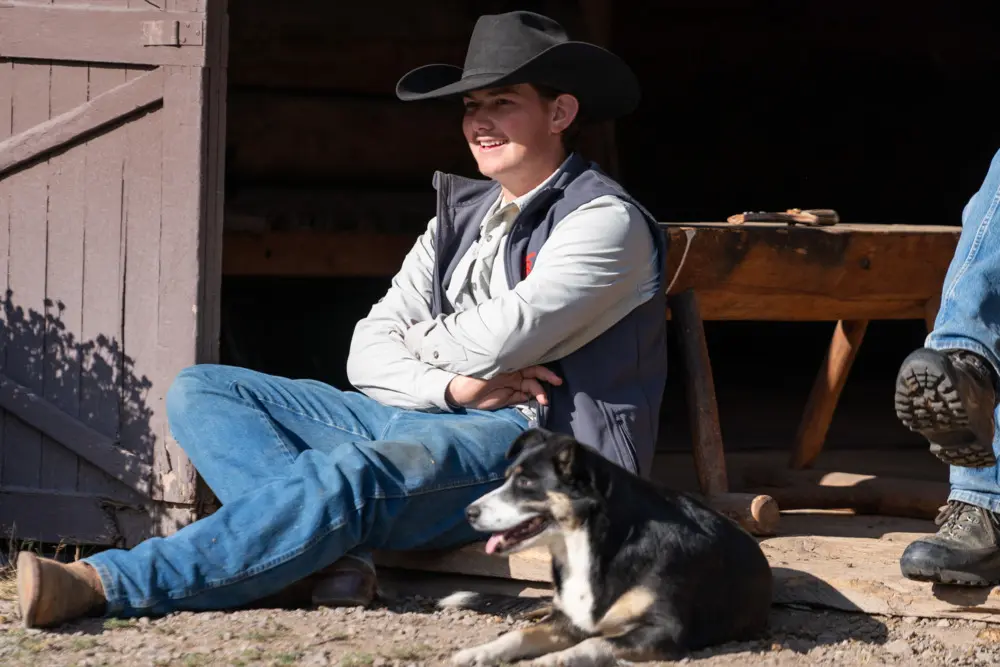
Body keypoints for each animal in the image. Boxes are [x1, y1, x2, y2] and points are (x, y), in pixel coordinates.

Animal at [446, 430, 772, 664]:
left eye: (525, 483)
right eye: (506, 479)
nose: (468, 512)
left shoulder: (663, 630)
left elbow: (596, 642)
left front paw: (554, 659)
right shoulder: (569, 620)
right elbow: (520, 637)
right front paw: (480, 652)